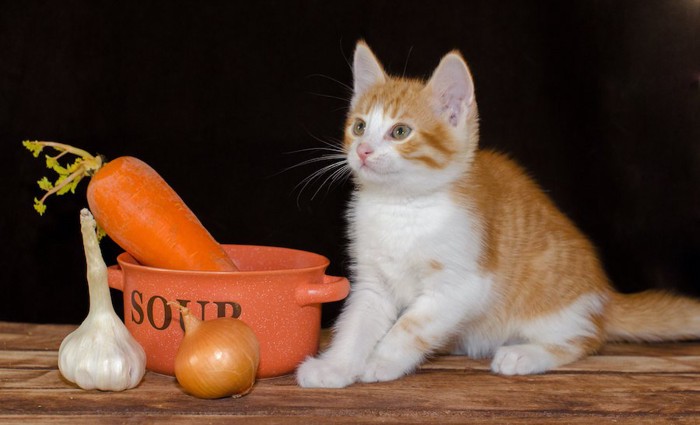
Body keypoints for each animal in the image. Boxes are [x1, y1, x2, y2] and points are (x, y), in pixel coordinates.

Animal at [294, 40, 700, 388]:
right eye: (359, 126)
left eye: (400, 131)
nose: (362, 150)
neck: (401, 207)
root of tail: (604, 297)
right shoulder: (373, 282)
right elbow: (356, 324)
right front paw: (336, 367)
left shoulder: (463, 285)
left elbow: (410, 325)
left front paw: (381, 360)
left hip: (553, 305)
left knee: (586, 339)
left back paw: (525, 354)